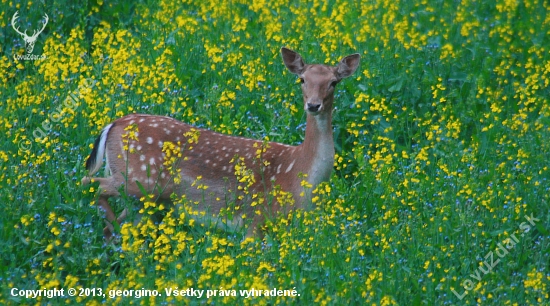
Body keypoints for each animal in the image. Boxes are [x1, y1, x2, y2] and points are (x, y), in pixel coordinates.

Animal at [80, 47, 360, 239]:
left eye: (334, 82)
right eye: (302, 79)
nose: (313, 105)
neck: (299, 173)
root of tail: (113, 124)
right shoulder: (257, 219)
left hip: (147, 198)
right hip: (140, 179)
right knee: (89, 183)